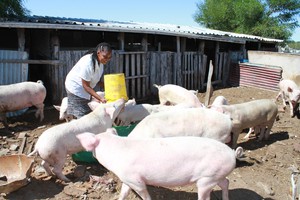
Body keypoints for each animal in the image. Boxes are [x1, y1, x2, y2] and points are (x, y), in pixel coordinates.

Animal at [76, 128, 243, 200]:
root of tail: (231, 153)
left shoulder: (136, 180)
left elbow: (144, 194)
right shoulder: (127, 179)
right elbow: (123, 192)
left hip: (207, 178)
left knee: (206, 195)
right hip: (216, 175)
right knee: (226, 183)